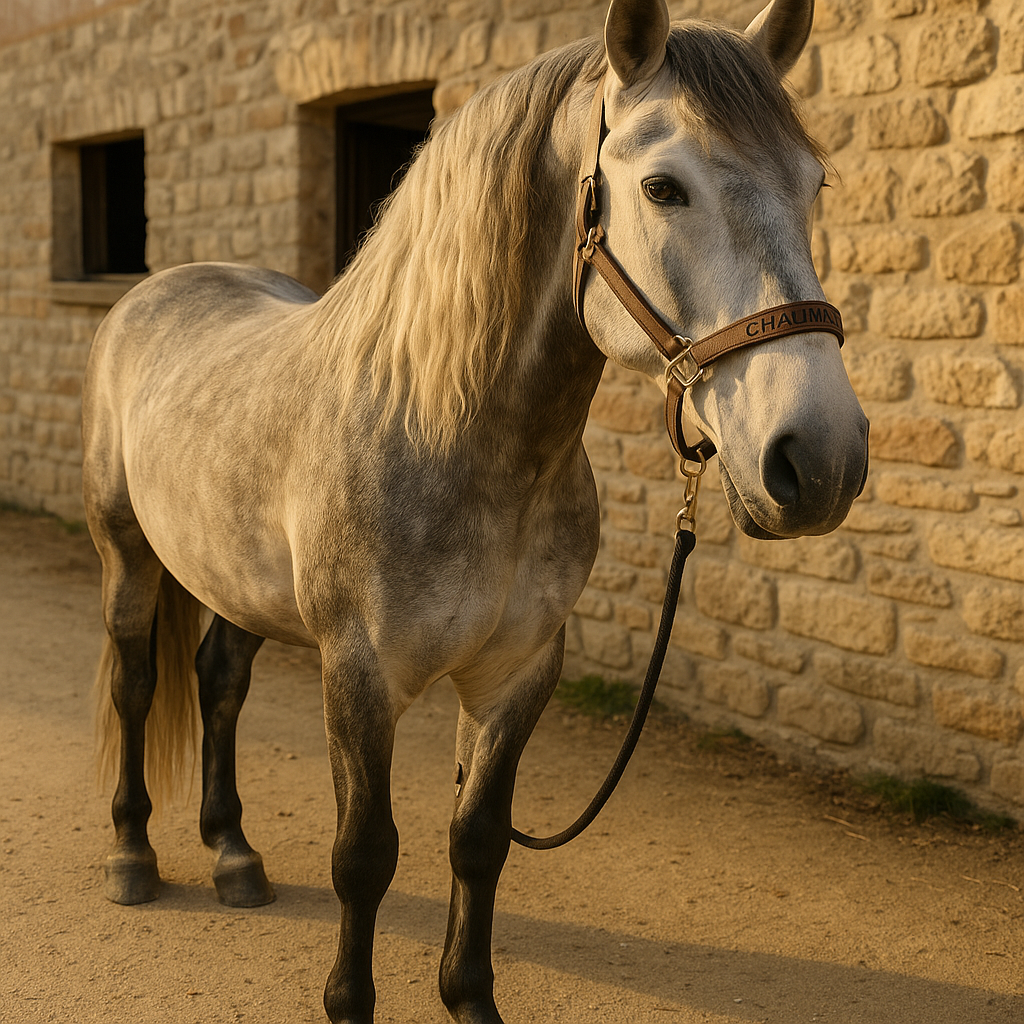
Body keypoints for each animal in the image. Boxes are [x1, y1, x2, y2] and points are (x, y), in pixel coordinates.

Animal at [83, 0, 869, 1020]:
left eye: (814, 183)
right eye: (664, 187)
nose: (822, 459)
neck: (453, 435)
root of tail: (158, 286)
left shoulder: (519, 673)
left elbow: (478, 840)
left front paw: (469, 998)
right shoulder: (360, 675)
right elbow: (364, 856)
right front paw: (350, 1001)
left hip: (231, 578)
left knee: (219, 684)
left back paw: (234, 855)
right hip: (127, 554)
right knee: (136, 685)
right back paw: (132, 854)